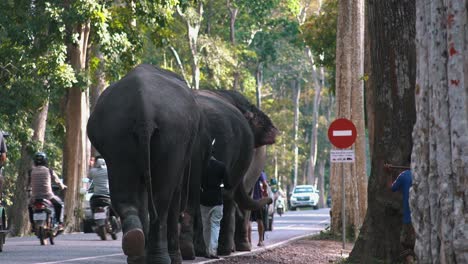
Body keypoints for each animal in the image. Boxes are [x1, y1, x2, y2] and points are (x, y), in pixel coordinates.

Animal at [87, 64, 204, 264]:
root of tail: (144, 109)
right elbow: (175, 190)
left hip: (116, 133)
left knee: (125, 194)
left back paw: (135, 246)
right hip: (172, 136)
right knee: (162, 197)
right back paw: (160, 258)